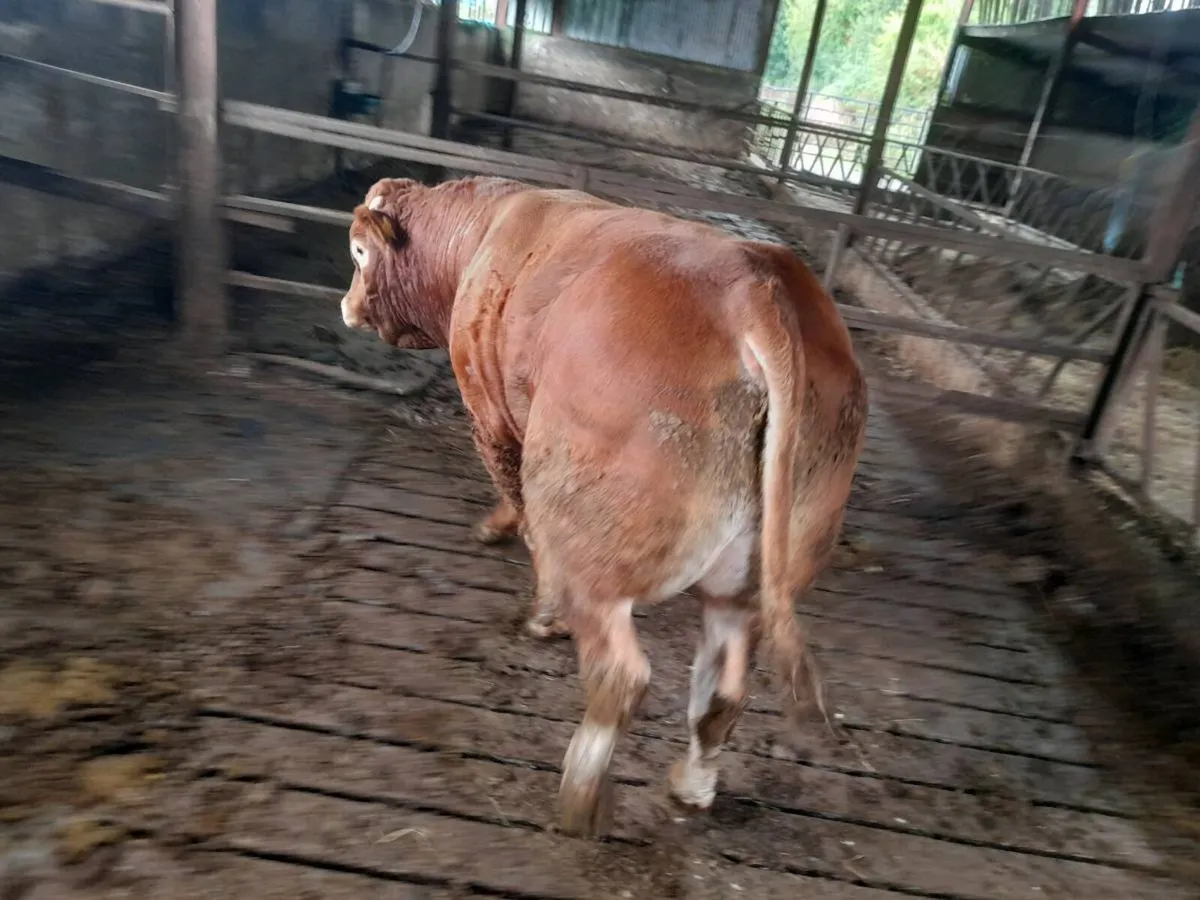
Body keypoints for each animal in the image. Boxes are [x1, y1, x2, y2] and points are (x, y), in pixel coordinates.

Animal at [340, 175, 868, 837]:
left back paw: (580, 799)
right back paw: (690, 787)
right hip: (750, 573)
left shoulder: (489, 412)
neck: (485, 230)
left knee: (621, 674)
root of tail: (756, 286)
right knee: (723, 690)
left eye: (359, 253)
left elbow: (516, 497)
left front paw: (528, 589)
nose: (347, 307)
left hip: (592, 545)